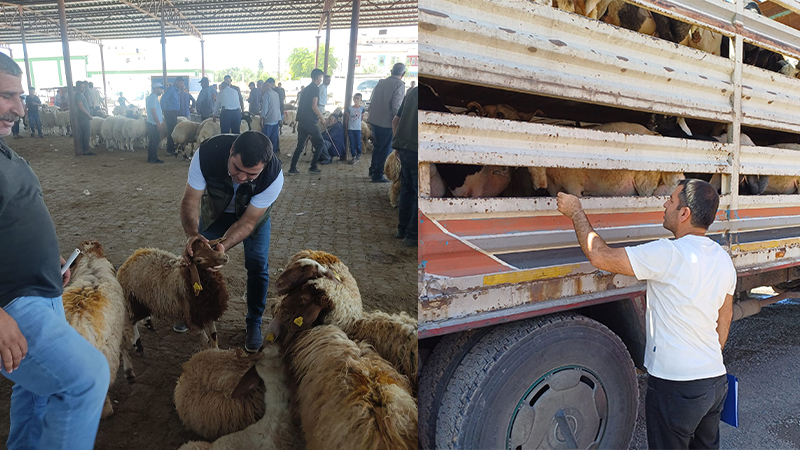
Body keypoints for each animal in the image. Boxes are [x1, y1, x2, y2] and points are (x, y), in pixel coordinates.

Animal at [119, 237, 231, 382]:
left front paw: (217, 356)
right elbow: (206, 343)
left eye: (209, 246)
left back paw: (147, 326)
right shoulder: (194, 319)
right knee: (130, 325)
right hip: (133, 301)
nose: (224, 257)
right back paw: (136, 351)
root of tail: (132, 257)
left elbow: (214, 338)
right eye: (198, 260)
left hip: (142, 302)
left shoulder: (208, 313)